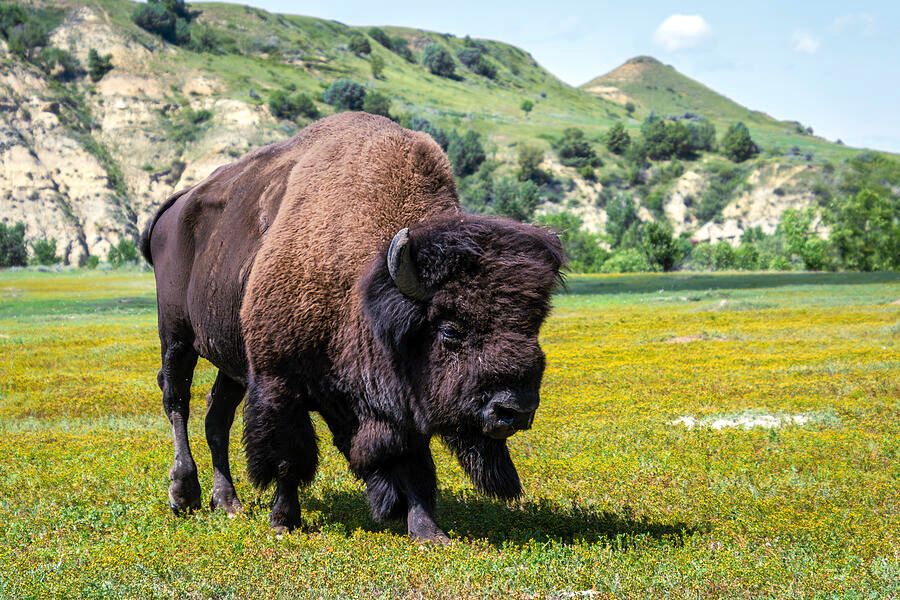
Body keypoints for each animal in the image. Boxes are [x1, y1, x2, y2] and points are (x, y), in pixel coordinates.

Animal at [140, 112, 564, 541]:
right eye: (450, 330)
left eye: (533, 325)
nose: (515, 409)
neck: (364, 285)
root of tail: (176, 206)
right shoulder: (279, 382)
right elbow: (289, 458)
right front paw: (284, 521)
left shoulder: (395, 403)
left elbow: (411, 462)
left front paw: (428, 532)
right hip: (176, 335)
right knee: (176, 399)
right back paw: (184, 494)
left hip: (233, 361)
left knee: (217, 417)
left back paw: (227, 502)